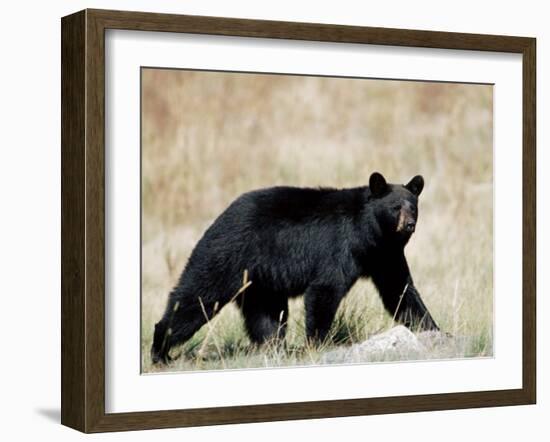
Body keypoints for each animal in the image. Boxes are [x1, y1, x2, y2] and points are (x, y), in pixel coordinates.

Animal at [153, 172, 442, 362]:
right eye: (395, 207)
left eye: (413, 207)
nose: (409, 225)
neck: (370, 235)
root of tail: (220, 217)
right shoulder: (340, 247)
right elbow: (325, 289)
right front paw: (317, 344)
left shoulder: (385, 255)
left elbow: (400, 291)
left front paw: (435, 331)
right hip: (225, 257)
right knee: (197, 297)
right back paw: (160, 351)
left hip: (261, 282)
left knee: (267, 316)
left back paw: (273, 348)